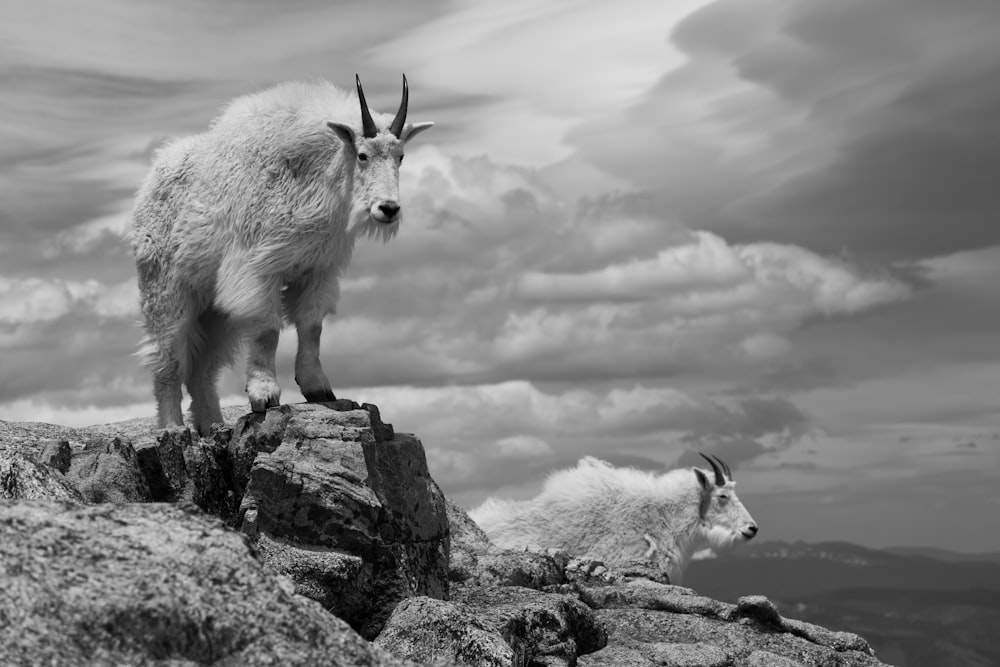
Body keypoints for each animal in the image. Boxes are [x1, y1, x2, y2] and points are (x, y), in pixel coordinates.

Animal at [128, 74, 430, 438]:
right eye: (362, 155)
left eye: (401, 156)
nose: (388, 209)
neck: (314, 175)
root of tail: (148, 183)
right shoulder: (256, 269)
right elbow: (267, 330)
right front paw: (264, 395)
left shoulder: (317, 269)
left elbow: (312, 326)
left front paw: (318, 388)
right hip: (166, 289)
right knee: (167, 359)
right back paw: (173, 428)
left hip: (212, 308)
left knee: (203, 369)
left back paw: (214, 427)